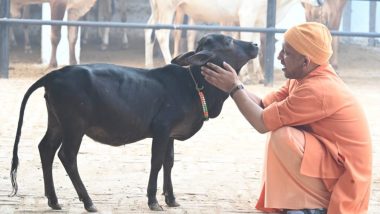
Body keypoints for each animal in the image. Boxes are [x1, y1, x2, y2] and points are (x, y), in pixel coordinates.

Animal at [9, 33, 258, 212]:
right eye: (228, 41)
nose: (255, 44)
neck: (194, 84)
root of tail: (54, 74)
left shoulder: (170, 134)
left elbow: (169, 162)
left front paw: (171, 198)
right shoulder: (161, 128)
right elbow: (156, 162)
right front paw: (153, 200)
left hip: (57, 122)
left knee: (46, 148)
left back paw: (53, 200)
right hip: (74, 125)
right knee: (66, 155)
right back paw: (88, 202)